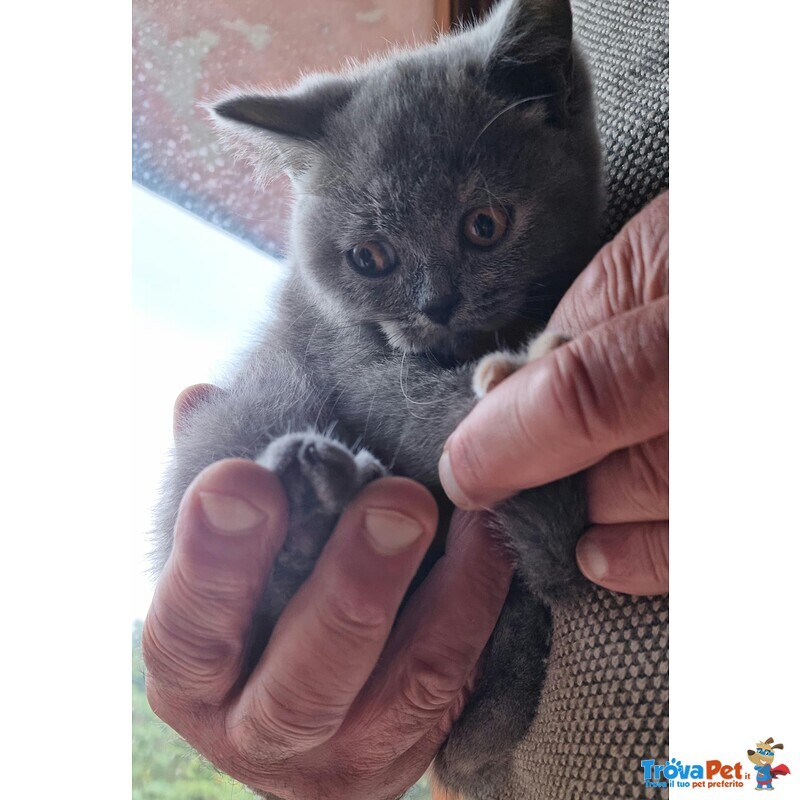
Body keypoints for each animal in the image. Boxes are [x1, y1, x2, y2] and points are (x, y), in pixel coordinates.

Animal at [152, 1, 600, 792]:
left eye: (484, 225)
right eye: (370, 258)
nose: (436, 302)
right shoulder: (347, 351)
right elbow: (414, 400)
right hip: (254, 405)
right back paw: (313, 498)